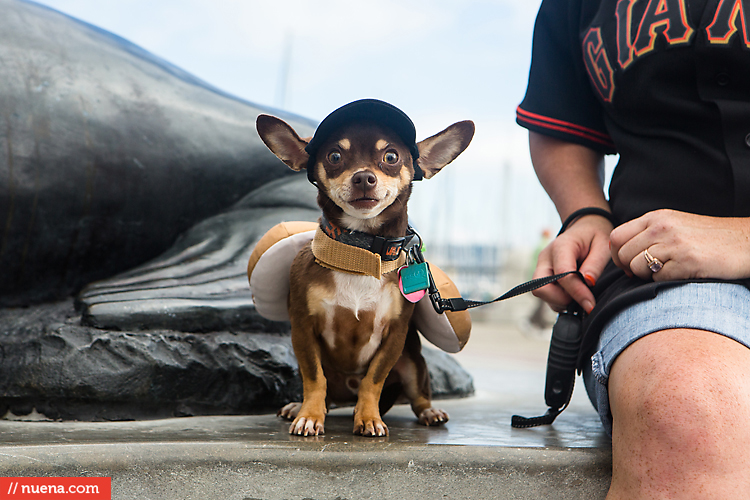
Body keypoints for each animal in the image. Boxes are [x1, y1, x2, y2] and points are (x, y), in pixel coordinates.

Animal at [256, 99, 472, 436]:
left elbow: (374, 379)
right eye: (334, 156)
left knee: (417, 395)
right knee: (326, 391)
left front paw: (369, 418)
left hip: (413, 364)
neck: (360, 253)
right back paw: (299, 407)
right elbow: (314, 378)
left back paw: (429, 412)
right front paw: (310, 416)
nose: (363, 177)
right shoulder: (303, 330)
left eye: (391, 157)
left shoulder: (395, 336)